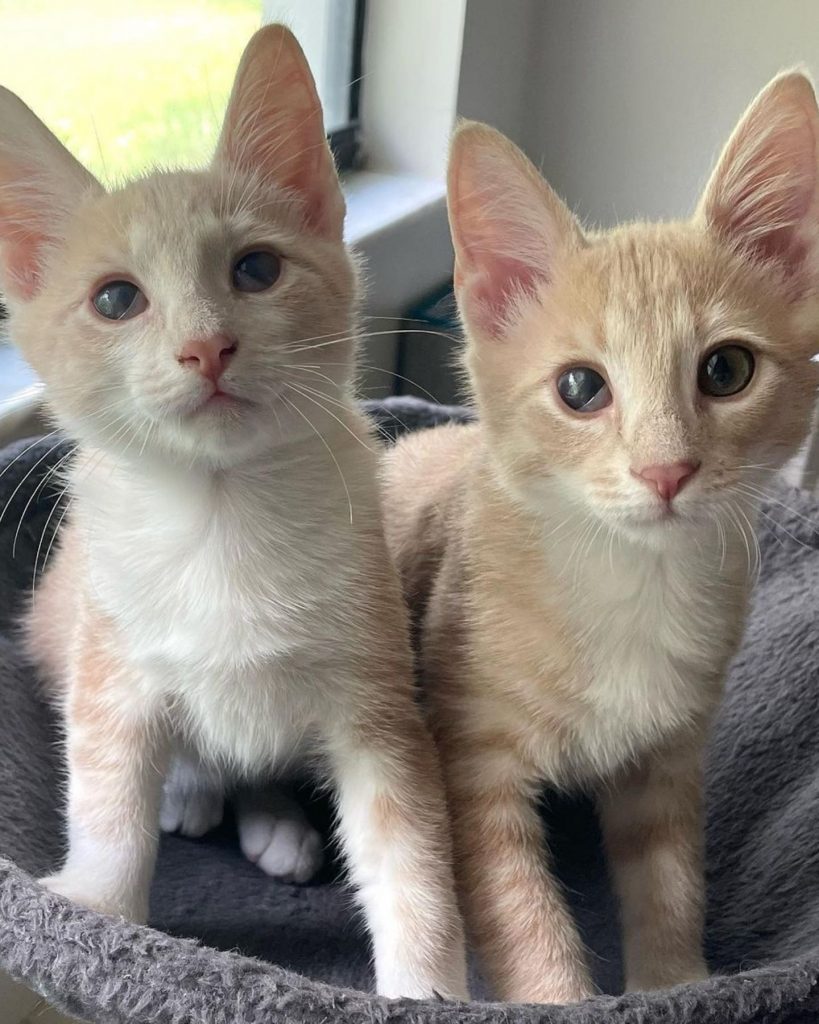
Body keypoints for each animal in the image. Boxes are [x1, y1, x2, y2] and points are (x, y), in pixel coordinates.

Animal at [0, 24, 464, 999]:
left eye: (256, 269)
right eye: (115, 299)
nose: (206, 346)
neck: (220, 519)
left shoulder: (376, 698)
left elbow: (409, 848)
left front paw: (428, 985)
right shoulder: (110, 660)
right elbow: (107, 793)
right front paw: (95, 914)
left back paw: (271, 818)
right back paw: (194, 792)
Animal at [380, 70, 818, 999]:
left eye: (726, 370)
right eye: (581, 388)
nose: (666, 471)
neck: (626, 580)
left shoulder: (668, 758)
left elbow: (669, 882)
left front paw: (675, 987)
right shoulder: (471, 760)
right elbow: (521, 914)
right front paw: (559, 994)